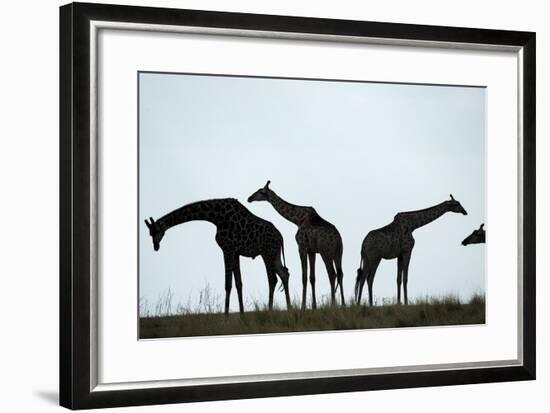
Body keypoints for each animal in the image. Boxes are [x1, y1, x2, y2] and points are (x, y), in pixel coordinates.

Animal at [147, 198, 294, 314]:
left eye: (155, 231)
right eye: (150, 233)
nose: (155, 247)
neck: (216, 217)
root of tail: (281, 237)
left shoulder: (227, 249)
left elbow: (227, 284)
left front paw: (226, 316)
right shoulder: (235, 252)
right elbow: (238, 283)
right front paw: (242, 316)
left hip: (266, 252)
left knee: (273, 279)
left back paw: (270, 311)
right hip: (275, 254)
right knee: (284, 274)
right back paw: (289, 308)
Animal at [249, 180, 344, 308]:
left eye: (261, 191)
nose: (249, 198)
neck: (297, 220)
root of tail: (338, 240)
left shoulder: (301, 247)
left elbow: (304, 277)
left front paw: (303, 306)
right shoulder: (311, 251)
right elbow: (312, 278)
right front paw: (313, 306)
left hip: (326, 253)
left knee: (332, 274)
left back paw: (333, 304)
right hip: (338, 253)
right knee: (340, 273)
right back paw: (343, 304)